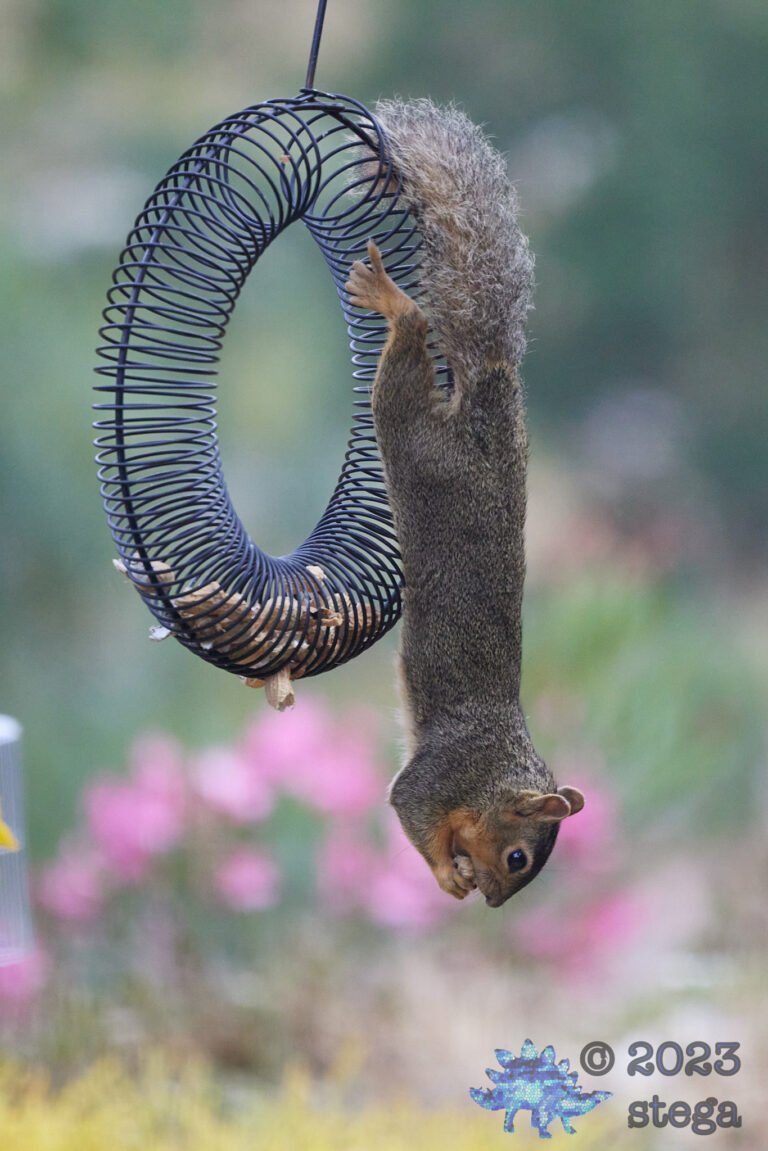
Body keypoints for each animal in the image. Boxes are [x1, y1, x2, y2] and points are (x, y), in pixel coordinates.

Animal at [345, 99, 585, 908]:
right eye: (516, 857)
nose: (492, 901)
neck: (496, 769)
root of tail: (492, 397)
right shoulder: (439, 776)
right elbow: (407, 807)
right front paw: (445, 876)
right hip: (415, 437)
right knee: (410, 346)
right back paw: (394, 303)